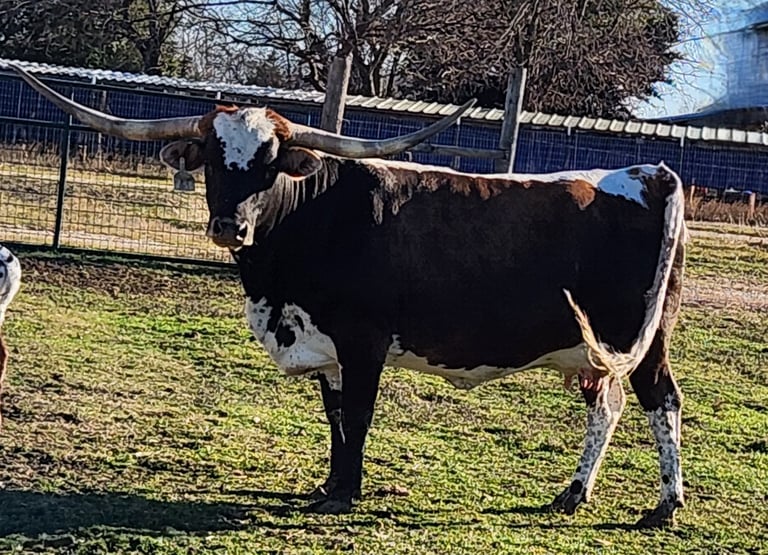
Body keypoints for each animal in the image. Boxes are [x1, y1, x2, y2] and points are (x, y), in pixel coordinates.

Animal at [12, 65, 687, 528]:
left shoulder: (364, 341)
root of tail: (653, 172)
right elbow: (335, 415)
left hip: (638, 337)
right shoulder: (325, 345)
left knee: (661, 401)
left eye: (271, 162)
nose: (230, 226)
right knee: (610, 406)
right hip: (604, 348)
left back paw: (664, 506)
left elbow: (359, 414)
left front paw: (346, 493)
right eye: (213, 160)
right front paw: (330, 483)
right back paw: (573, 495)